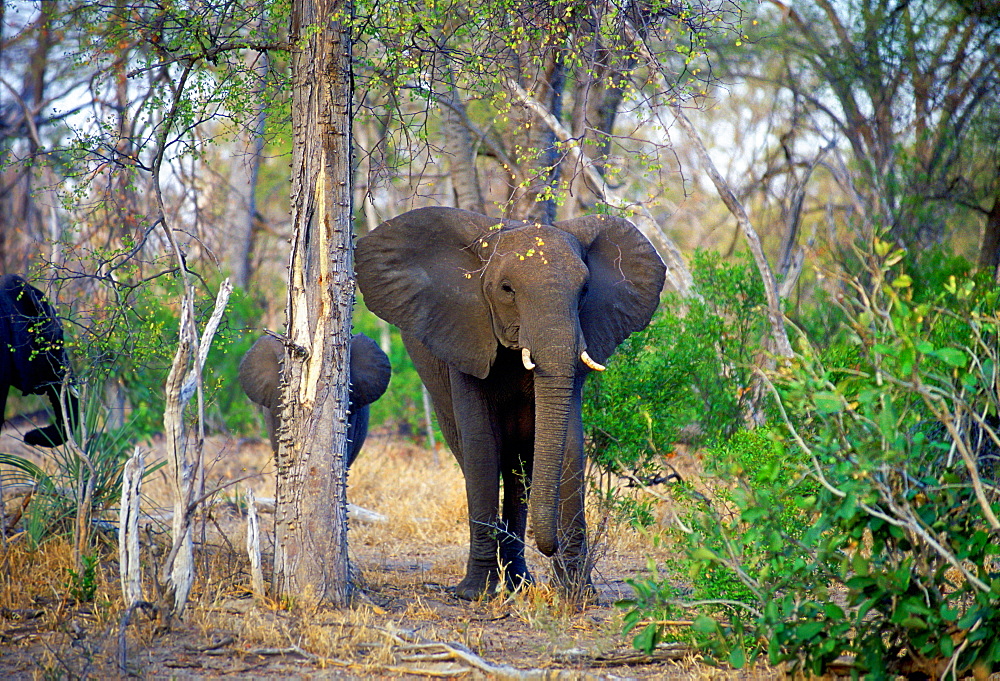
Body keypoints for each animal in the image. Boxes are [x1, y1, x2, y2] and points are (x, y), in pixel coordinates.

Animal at [356, 205, 668, 596]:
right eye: (507, 290)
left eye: (584, 290)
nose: (548, 546)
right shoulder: (466, 333)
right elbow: (480, 445)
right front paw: (476, 593)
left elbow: (569, 443)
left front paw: (576, 593)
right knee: (475, 454)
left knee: (520, 467)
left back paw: (520, 581)